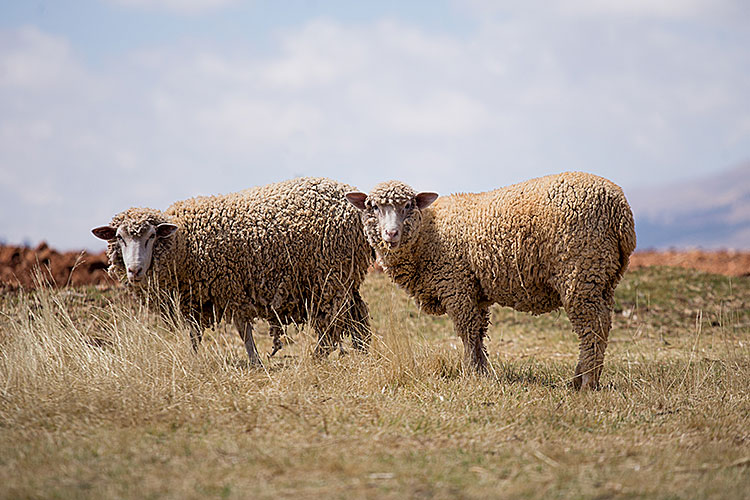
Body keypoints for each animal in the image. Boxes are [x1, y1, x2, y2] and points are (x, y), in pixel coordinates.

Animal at [92, 177, 374, 365]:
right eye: (119, 237)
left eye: (151, 236)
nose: (134, 270)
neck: (184, 243)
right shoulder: (195, 297)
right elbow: (194, 333)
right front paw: (194, 357)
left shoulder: (228, 285)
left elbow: (242, 328)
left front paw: (255, 361)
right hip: (345, 276)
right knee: (356, 314)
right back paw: (362, 351)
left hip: (331, 274)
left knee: (334, 319)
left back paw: (319, 355)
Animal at [346, 172, 636, 390]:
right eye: (373, 207)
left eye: (408, 206)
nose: (391, 234)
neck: (427, 234)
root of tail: (620, 209)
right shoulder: (476, 291)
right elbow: (478, 333)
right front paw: (483, 371)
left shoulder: (456, 284)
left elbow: (467, 332)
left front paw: (471, 372)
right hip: (603, 277)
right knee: (602, 323)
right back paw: (580, 378)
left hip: (580, 271)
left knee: (593, 327)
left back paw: (586, 382)